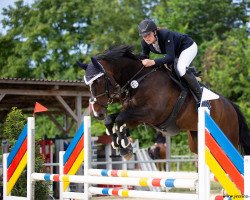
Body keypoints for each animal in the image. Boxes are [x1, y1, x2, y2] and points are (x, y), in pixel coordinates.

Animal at [79, 44, 250, 160]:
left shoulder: (151, 114)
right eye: (87, 84)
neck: (139, 80)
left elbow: (120, 119)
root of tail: (231, 106)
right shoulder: (135, 117)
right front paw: (120, 146)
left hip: (229, 136)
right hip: (195, 138)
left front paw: (124, 147)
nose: (97, 112)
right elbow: (112, 120)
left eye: (99, 81)